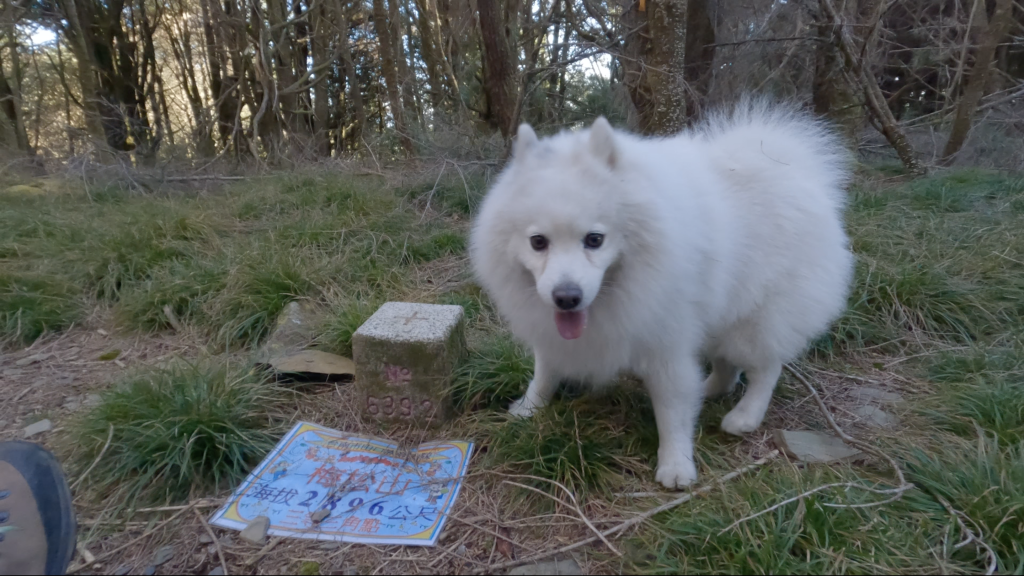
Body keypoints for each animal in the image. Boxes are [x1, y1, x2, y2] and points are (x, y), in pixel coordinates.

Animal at [468, 101, 851, 483]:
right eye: (538, 242)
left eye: (594, 240)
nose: (567, 297)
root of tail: (794, 169)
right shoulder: (554, 334)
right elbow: (544, 372)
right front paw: (528, 408)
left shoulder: (665, 343)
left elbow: (671, 410)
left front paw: (676, 464)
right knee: (727, 365)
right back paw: (708, 389)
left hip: (755, 320)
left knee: (766, 368)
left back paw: (745, 416)